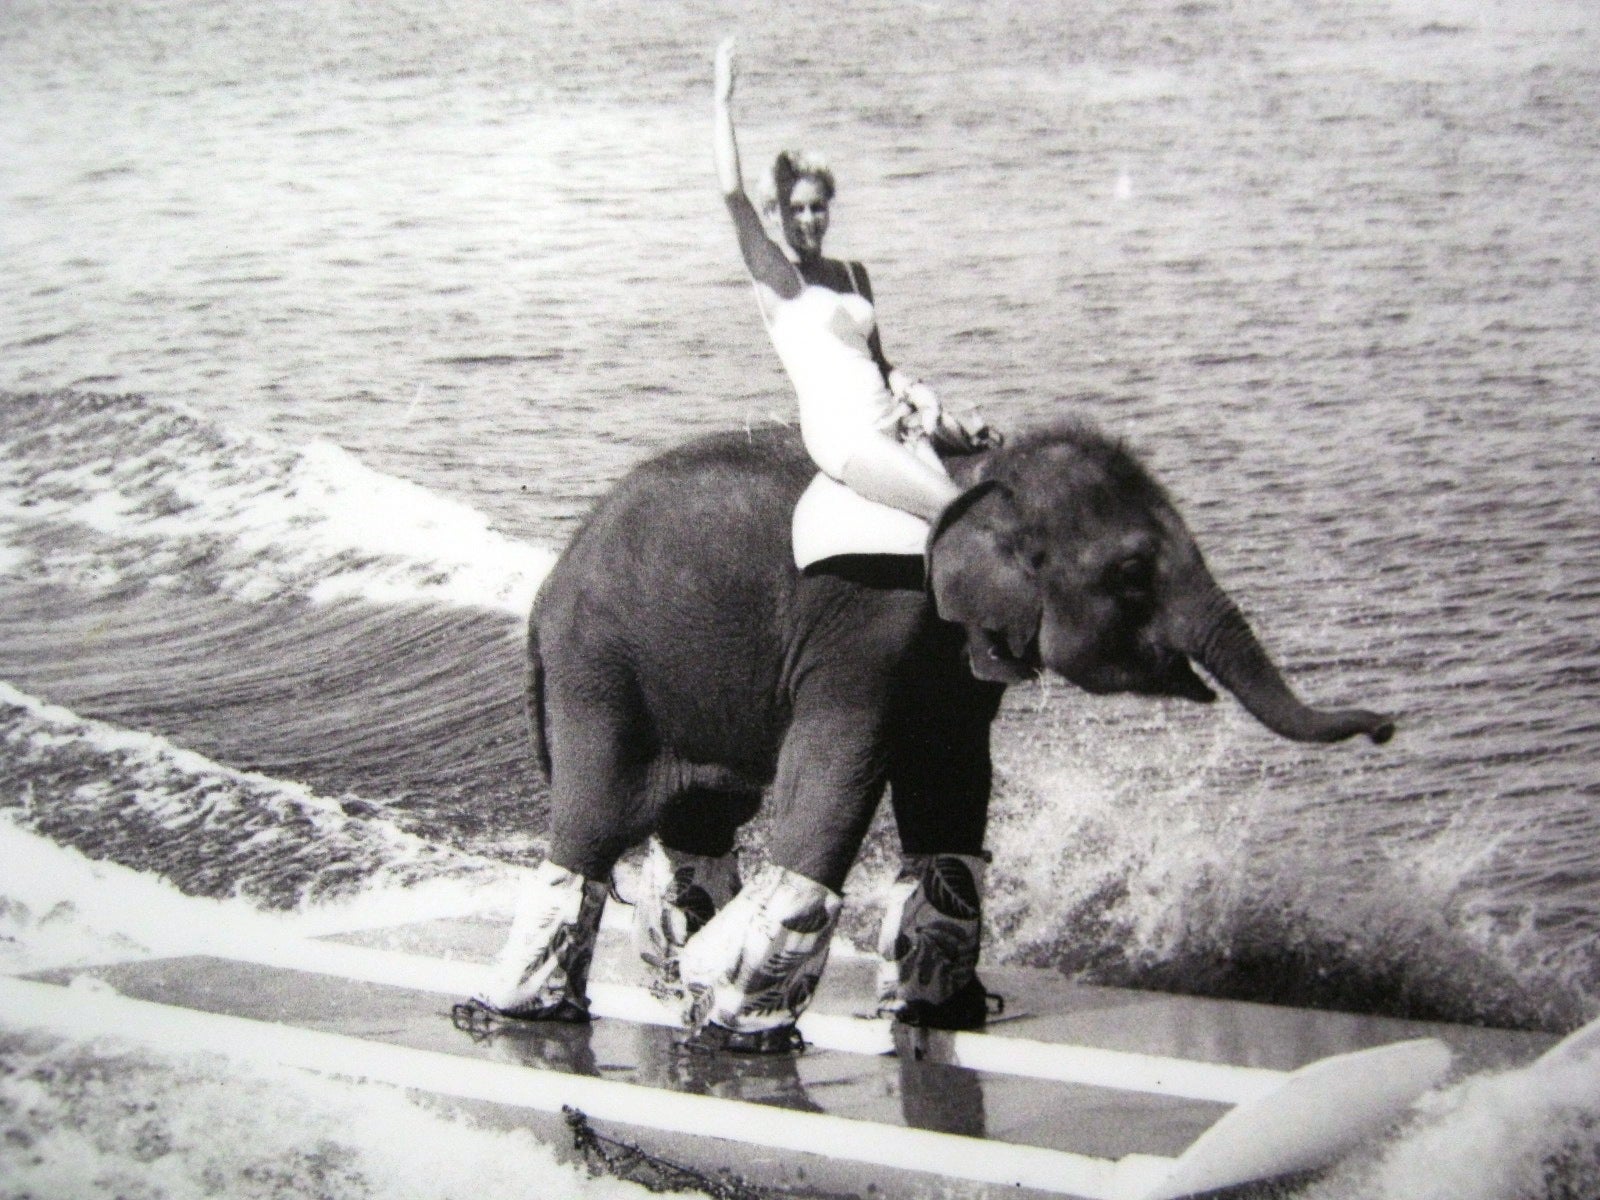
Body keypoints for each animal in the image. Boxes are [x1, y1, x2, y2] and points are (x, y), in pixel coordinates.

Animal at [467, 419, 1395, 1056]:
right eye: (1131, 574)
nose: (1386, 727)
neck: (965, 482)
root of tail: (550, 589)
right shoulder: (865, 629)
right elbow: (835, 789)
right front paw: (742, 1032)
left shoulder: (954, 660)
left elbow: (951, 789)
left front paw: (941, 1011)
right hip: (599, 672)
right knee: (595, 825)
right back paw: (537, 1009)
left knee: (699, 825)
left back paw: (669, 987)